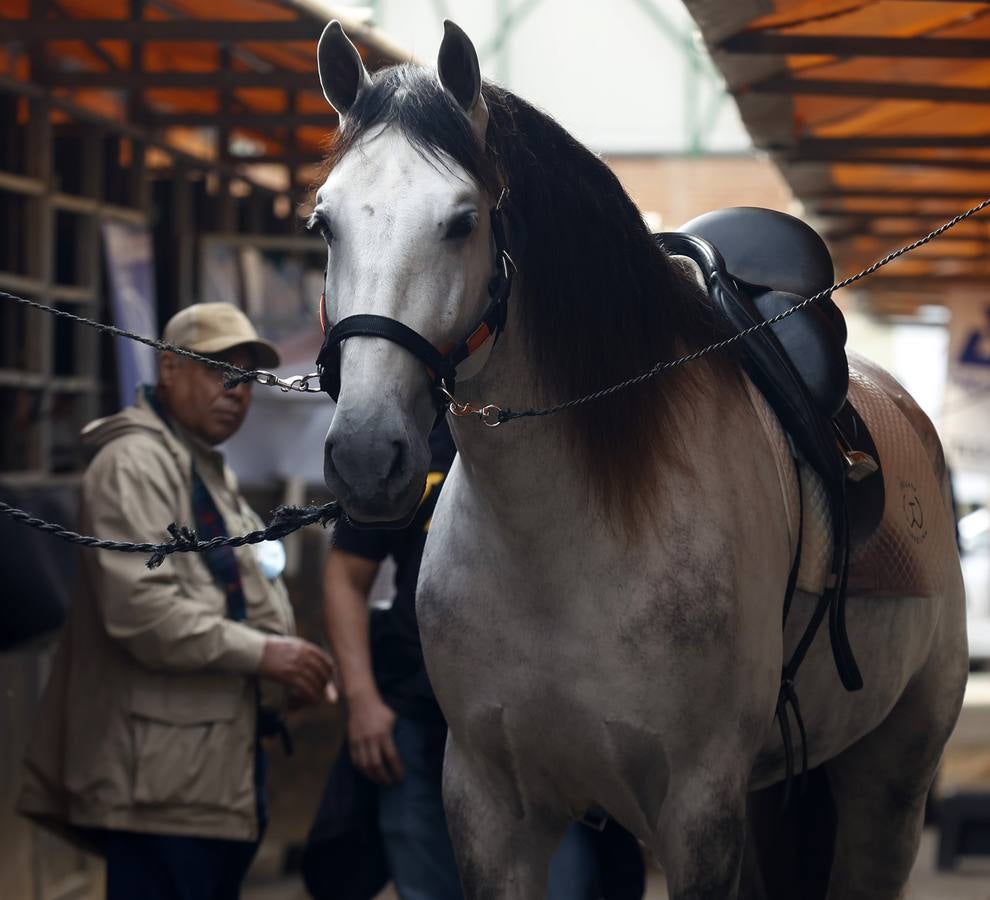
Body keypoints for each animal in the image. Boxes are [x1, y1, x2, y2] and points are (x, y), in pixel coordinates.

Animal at [311, 19, 968, 900]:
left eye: (462, 221)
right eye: (324, 223)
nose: (364, 453)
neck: (559, 544)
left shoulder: (697, 812)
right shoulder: (488, 806)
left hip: (890, 782)